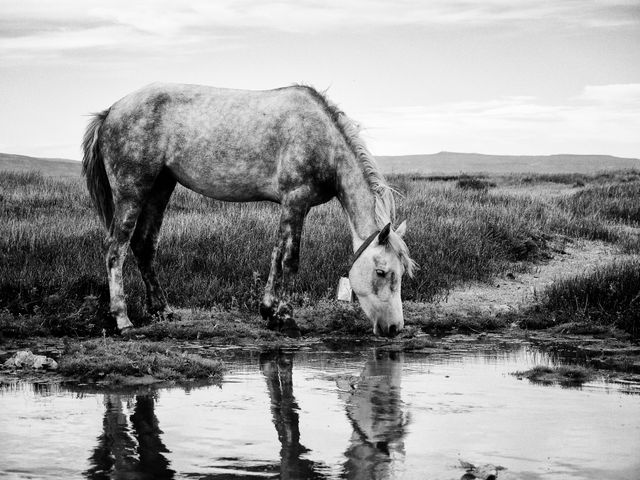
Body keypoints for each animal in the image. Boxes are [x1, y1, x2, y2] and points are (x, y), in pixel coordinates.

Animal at [82, 82, 416, 338]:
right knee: (116, 250)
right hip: (132, 192)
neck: (323, 142)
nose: (394, 328)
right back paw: (123, 320)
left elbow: (276, 254)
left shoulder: (290, 206)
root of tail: (111, 111)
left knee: (144, 245)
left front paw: (268, 311)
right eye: (382, 272)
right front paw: (287, 319)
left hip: (160, 188)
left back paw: (162, 310)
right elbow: (290, 260)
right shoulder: (296, 201)